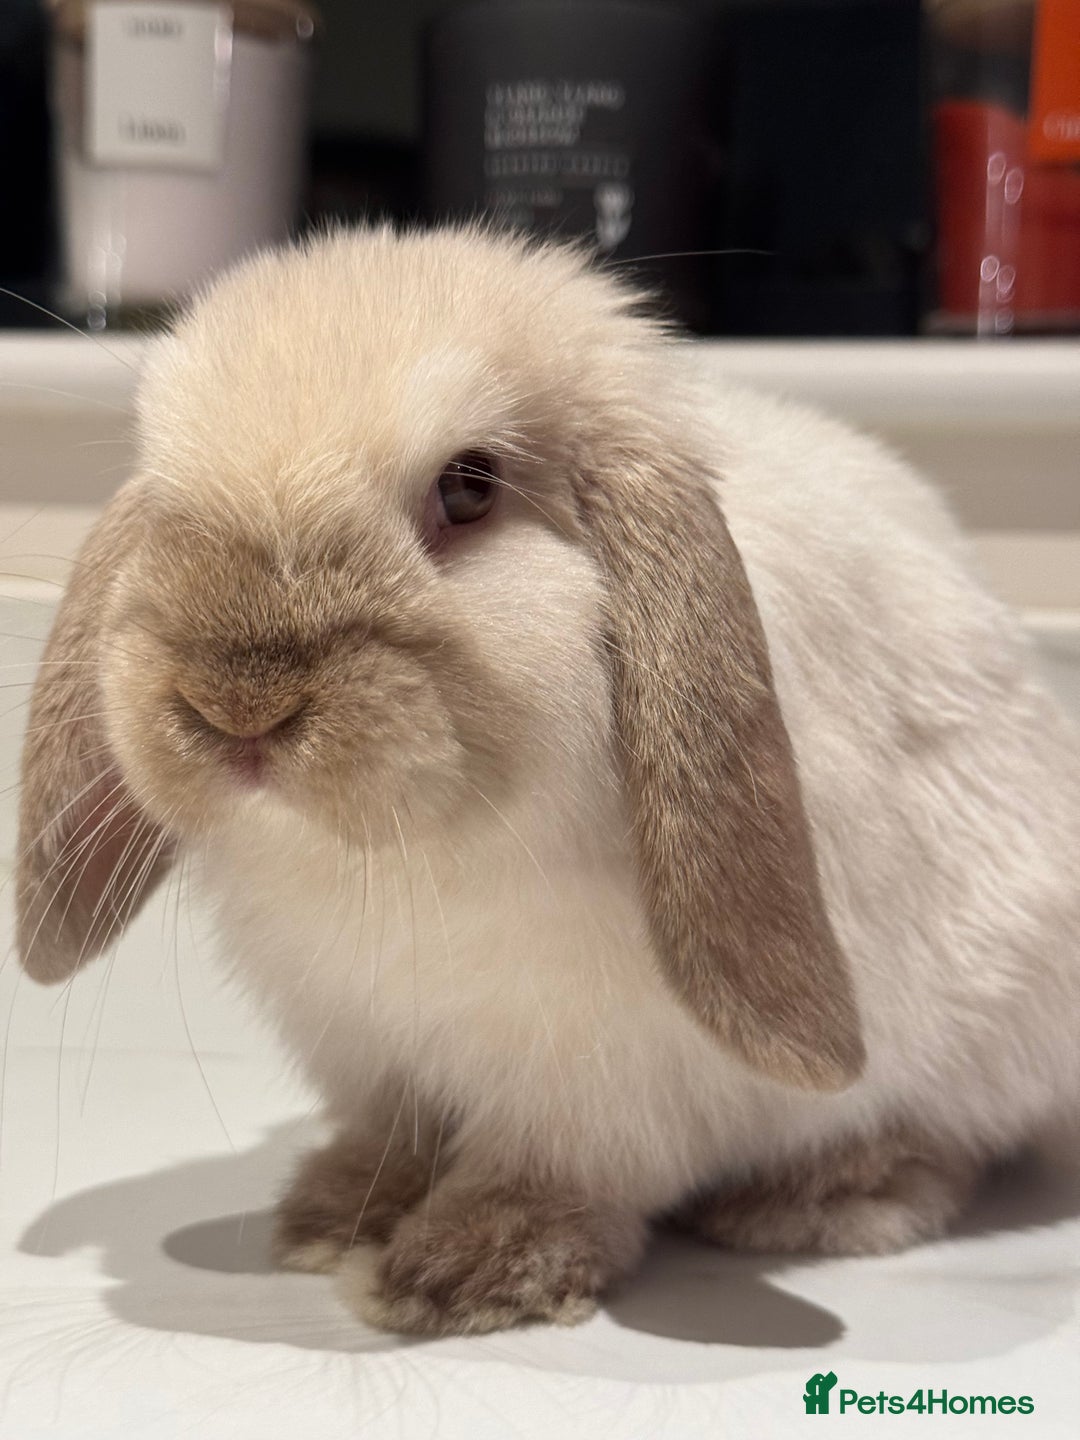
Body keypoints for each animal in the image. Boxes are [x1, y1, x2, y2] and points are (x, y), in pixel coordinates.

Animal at [15, 226, 1080, 1336]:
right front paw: (336, 1215)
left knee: (947, 1140)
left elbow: (550, 1175)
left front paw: (464, 1270)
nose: (235, 708)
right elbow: (394, 1137)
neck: (406, 849)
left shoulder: (599, 1081)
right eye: (160, 494)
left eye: (469, 487)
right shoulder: (371, 1049)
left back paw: (815, 1201)